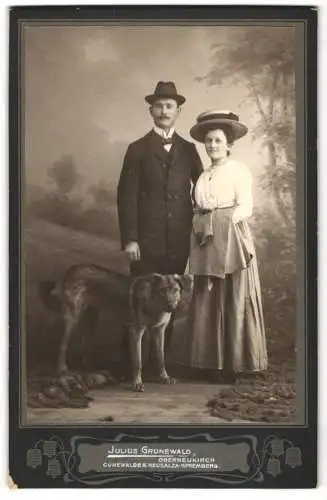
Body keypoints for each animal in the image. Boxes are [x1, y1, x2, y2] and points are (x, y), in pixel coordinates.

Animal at [39, 266, 192, 390]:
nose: (172, 306)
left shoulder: (159, 331)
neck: (154, 305)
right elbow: (138, 361)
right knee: (62, 346)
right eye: (162, 291)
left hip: (90, 317)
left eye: (176, 290)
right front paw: (137, 383)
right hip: (72, 319)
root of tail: (70, 271)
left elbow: (161, 357)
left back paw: (89, 367)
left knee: (85, 343)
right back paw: (61, 371)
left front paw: (165, 377)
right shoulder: (136, 331)